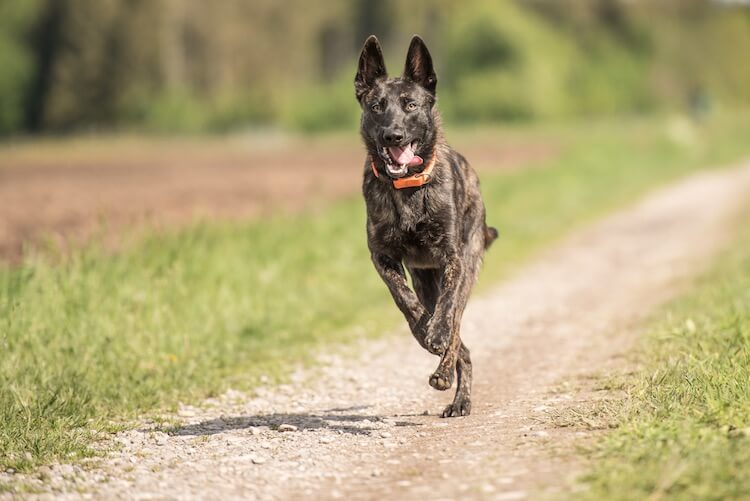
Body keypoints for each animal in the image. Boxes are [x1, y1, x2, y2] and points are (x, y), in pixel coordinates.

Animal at [356, 35, 500, 416]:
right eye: (376, 106)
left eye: (410, 105)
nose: (392, 136)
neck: (407, 187)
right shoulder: (382, 257)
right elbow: (403, 298)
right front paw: (422, 329)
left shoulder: (453, 258)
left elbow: (447, 310)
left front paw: (434, 334)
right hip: (425, 278)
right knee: (460, 342)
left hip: (467, 266)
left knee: (456, 323)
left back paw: (451, 383)